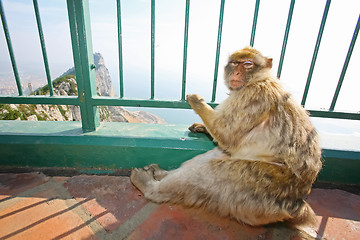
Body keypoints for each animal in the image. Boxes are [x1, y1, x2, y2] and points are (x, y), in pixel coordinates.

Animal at [131, 46, 322, 226]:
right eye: (235, 63)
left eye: (248, 64)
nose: (237, 72)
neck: (259, 80)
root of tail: (298, 203)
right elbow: (225, 139)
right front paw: (202, 127)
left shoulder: (253, 96)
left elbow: (227, 136)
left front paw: (197, 101)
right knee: (214, 158)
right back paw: (161, 173)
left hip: (264, 186)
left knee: (214, 171)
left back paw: (150, 187)